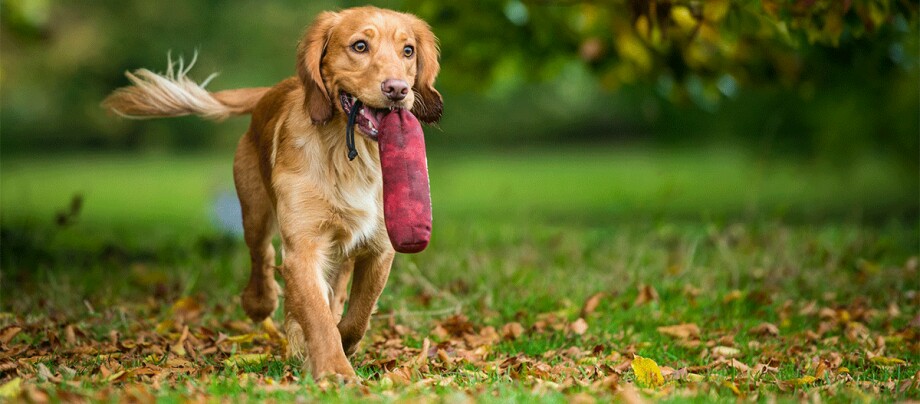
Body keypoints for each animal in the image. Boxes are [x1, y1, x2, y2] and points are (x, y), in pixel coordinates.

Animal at [104, 6, 442, 378]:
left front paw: (340, 346)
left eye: (408, 51)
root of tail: (272, 89)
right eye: (359, 46)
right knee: (262, 256)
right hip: (254, 210)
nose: (397, 89)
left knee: (334, 288)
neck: (347, 155)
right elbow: (317, 315)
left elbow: (358, 313)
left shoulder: (380, 245)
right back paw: (261, 302)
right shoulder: (303, 244)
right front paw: (334, 370)